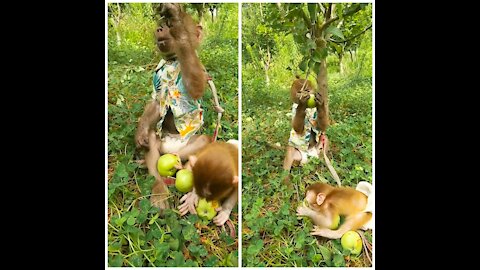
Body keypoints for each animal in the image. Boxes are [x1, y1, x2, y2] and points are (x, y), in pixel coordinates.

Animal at [134, 3, 211, 211]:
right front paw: (140, 133)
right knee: (152, 140)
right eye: (160, 24)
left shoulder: (199, 67)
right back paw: (159, 186)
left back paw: (184, 170)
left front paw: (180, 30)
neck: (172, 61)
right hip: (162, 144)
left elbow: (196, 87)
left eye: (168, 25)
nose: (161, 28)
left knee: (203, 142)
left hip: (183, 147)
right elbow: (155, 102)